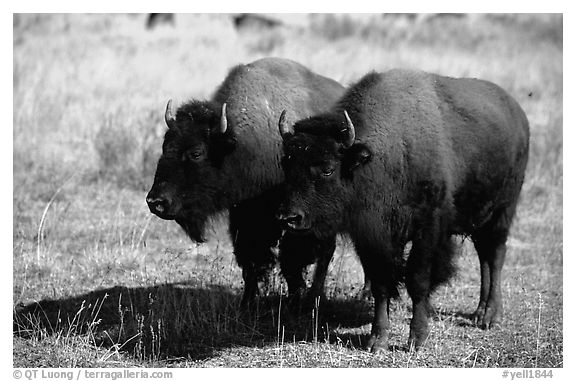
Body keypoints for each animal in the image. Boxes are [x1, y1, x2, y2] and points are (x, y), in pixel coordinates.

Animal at [146, 57, 346, 306]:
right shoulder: (245, 217)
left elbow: (291, 261)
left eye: (196, 153)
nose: (155, 202)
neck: (243, 144)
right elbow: (251, 260)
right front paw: (247, 303)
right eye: (165, 146)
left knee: (325, 253)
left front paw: (295, 299)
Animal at [276, 70, 528, 352]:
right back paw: (479, 312)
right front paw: (377, 339)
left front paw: (417, 338)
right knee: (484, 257)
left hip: (502, 213)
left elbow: (418, 279)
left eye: (328, 169)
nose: (289, 217)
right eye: (286, 163)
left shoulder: (427, 230)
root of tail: (518, 114)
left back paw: (490, 317)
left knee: (495, 257)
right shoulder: (372, 238)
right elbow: (381, 283)